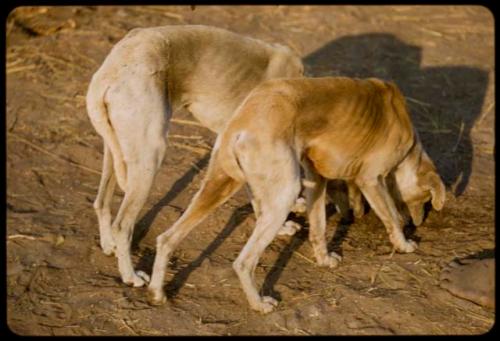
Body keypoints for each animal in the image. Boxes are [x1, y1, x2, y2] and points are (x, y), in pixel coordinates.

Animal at [85, 24, 302, 284]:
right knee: (123, 224)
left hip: (115, 149)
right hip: (150, 156)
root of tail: (110, 73)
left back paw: (109, 246)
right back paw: (131, 276)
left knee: (101, 202)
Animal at [147, 75, 446, 312]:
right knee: (243, 262)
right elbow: (390, 217)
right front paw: (404, 243)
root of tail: (242, 123)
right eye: (425, 200)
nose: (416, 222)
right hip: (283, 195)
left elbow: (318, 228)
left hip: (220, 186)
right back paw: (259, 304)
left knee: (167, 238)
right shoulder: (371, 180)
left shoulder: (316, 179)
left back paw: (157, 291)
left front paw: (324, 259)